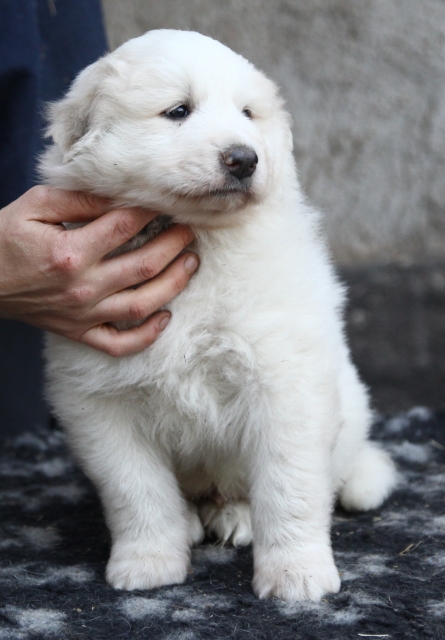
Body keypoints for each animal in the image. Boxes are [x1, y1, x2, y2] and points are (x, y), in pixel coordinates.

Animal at [39, 29, 397, 602]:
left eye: (248, 114)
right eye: (178, 111)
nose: (243, 158)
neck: (202, 240)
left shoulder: (284, 383)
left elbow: (289, 484)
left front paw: (297, 575)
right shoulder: (98, 397)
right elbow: (136, 489)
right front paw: (147, 564)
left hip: (348, 408)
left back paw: (244, 516)